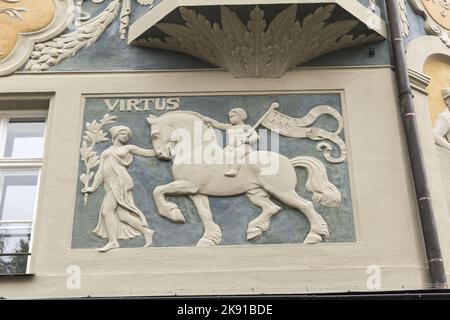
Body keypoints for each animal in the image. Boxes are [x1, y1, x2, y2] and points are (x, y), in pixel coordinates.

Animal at [148, 111, 342, 246]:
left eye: (155, 135)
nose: (161, 155)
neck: (197, 151)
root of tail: (289, 161)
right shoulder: (196, 192)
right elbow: (205, 213)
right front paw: (209, 239)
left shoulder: (188, 185)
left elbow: (157, 190)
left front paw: (173, 213)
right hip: (254, 192)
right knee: (272, 208)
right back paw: (254, 230)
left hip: (282, 191)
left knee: (305, 205)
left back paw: (314, 236)